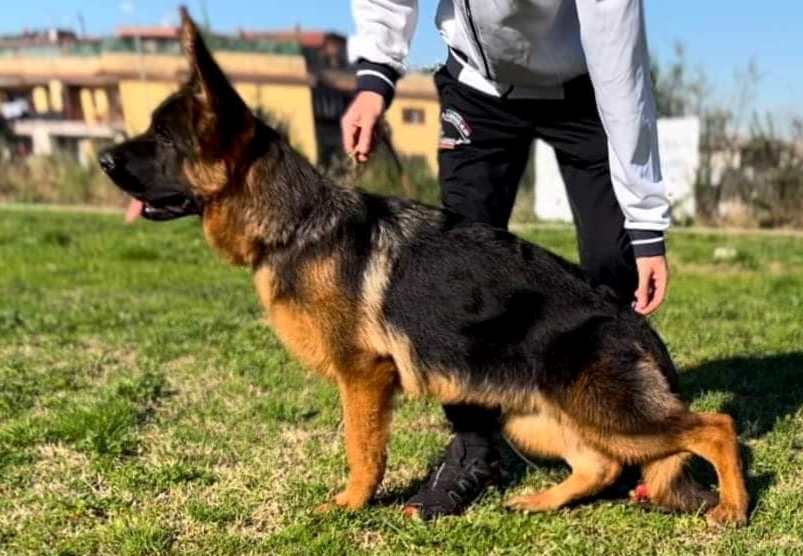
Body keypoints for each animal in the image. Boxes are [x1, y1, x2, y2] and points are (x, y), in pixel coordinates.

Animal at [98, 8, 749, 527]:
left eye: (161, 137)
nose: (103, 158)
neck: (295, 224)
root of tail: (634, 321)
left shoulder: (363, 377)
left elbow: (363, 451)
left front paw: (350, 505)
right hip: (536, 418)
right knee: (603, 464)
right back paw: (541, 501)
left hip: (605, 409)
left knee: (714, 426)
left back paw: (734, 508)